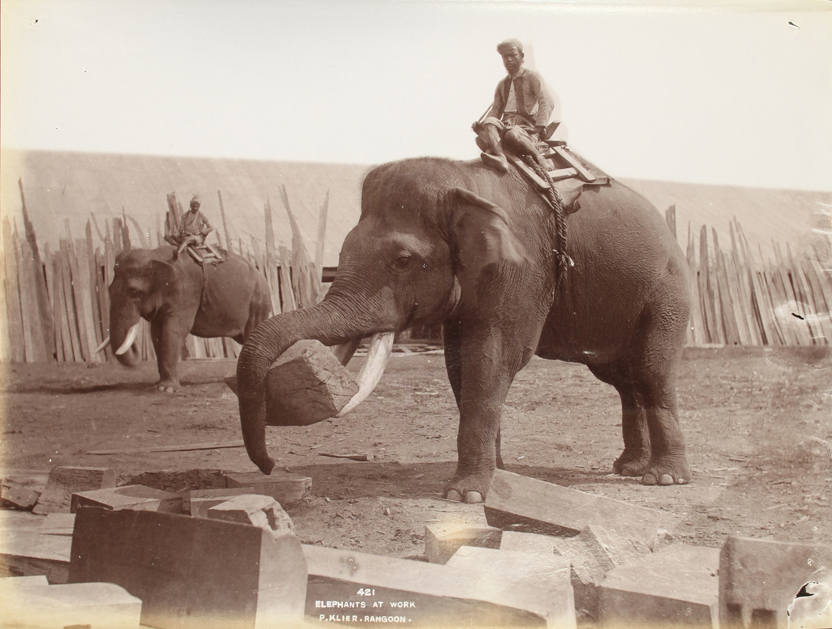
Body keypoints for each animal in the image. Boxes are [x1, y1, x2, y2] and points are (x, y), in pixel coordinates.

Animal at [99, 244, 272, 388]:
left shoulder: (186, 293)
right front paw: (158, 385)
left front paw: (166, 389)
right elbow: (156, 333)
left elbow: (174, 330)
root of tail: (261, 274)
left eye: (134, 291)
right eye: (109, 289)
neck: (155, 255)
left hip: (257, 301)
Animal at [234, 155, 688, 502]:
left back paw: (663, 478)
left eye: (403, 260)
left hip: (667, 293)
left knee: (651, 370)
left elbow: (494, 357)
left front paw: (464, 495)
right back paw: (628, 468)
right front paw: (497, 474)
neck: (464, 183)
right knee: (624, 379)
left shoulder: (523, 270)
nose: (270, 466)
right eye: (342, 252)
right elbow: (458, 364)